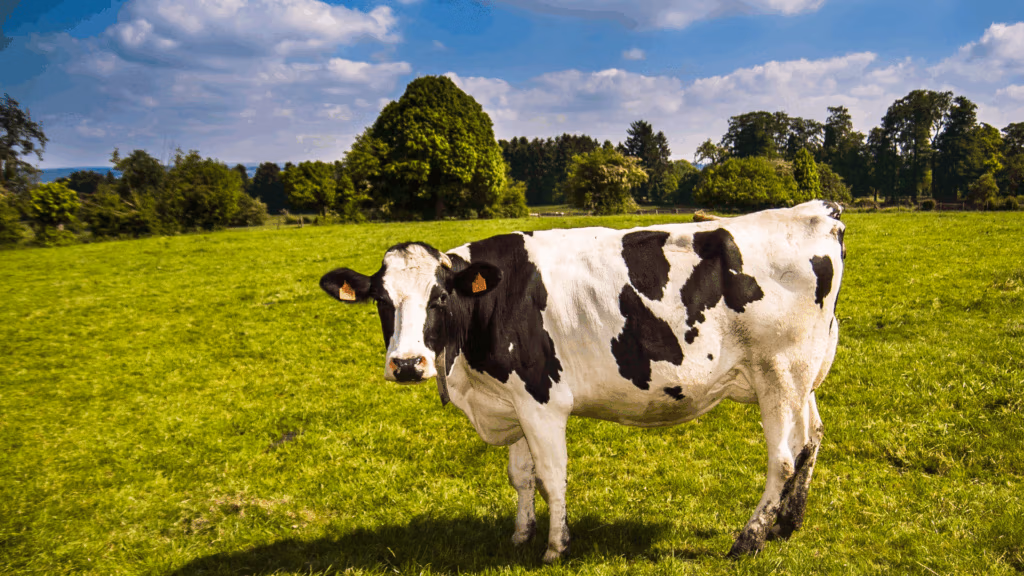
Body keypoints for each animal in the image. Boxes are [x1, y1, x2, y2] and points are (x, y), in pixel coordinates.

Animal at [319, 200, 845, 562]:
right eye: (382, 301)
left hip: (779, 373)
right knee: (811, 439)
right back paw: (786, 523)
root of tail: (818, 211)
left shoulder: (541, 399)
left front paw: (555, 547)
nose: (407, 364)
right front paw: (520, 534)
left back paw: (749, 538)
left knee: (782, 458)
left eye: (440, 297)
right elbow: (521, 476)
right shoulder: (511, 399)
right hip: (802, 376)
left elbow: (551, 476)